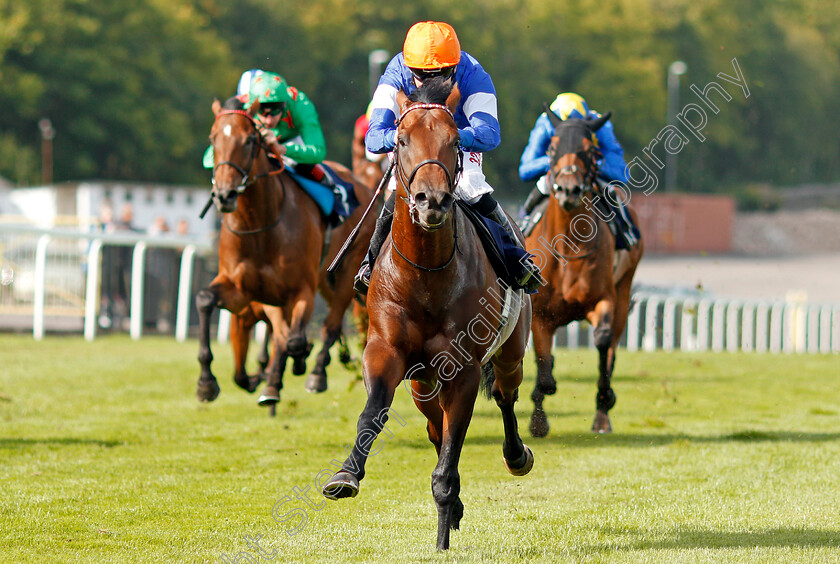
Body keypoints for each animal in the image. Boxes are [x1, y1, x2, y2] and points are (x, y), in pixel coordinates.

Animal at [197, 98, 374, 406]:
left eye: (249, 140)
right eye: (213, 138)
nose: (224, 195)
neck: (259, 224)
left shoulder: (300, 289)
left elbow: (295, 339)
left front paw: (298, 361)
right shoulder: (242, 290)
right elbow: (206, 300)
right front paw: (207, 383)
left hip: (347, 269)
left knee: (331, 323)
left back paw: (317, 372)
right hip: (320, 281)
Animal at [324, 79, 540, 552]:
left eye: (456, 141)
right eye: (402, 140)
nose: (432, 201)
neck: (425, 274)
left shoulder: (463, 369)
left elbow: (448, 460)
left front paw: (442, 536)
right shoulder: (385, 350)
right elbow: (374, 412)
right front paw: (346, 475)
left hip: (510, 352)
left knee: (505, 397)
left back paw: (517, 455)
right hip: (422, 382)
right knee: (434, 427)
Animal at [528, 108, 648, 438]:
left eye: (590, 151)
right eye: (552, 148)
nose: (568, 189)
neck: (568, 248)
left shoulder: (602, 299)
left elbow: (603, 342)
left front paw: (606, 398)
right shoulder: (540, 312)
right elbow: (544, 366)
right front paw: (538, 419)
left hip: (624, 288)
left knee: (612, 346)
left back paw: (602, 416)